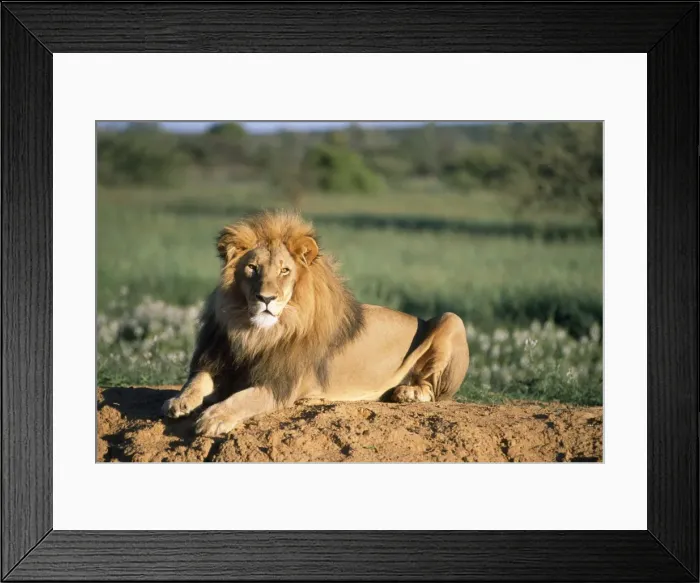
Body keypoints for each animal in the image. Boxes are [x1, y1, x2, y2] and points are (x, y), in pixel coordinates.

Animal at [162, 210, 470, 437]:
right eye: (252, 268)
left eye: (285, 270)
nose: (266, 298)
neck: (255, 333)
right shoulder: (220, 359)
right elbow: (197, 380)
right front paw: (179, 401)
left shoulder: (280, 384)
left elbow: (243, 399)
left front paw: (214, 417)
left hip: (451, 319)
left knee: (434, 391)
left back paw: (408, 392)